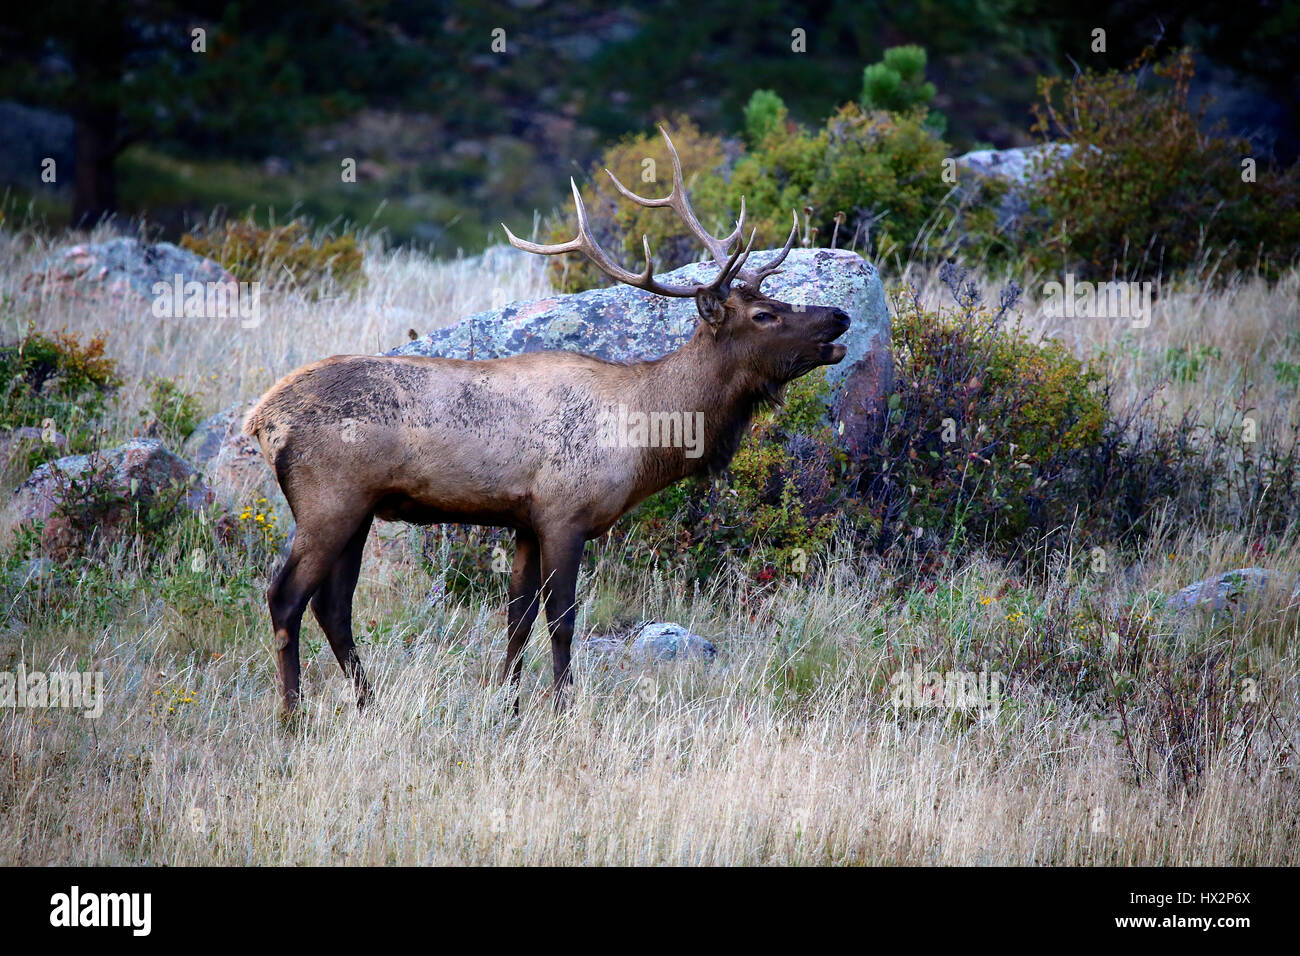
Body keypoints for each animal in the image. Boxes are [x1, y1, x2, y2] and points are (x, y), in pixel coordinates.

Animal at [244, 127, 851, 715]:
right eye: (764, 314)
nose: (840, 316)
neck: (643, 438)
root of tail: (262, 418)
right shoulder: (565, 512)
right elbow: (561, 620)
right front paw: (561, 710)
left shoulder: (524, 521)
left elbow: (517, 620)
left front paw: (508, 709)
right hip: (329, 499)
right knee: (286, 597)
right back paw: (292, 716)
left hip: (360, 509)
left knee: (333, 606)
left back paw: (368, 704)